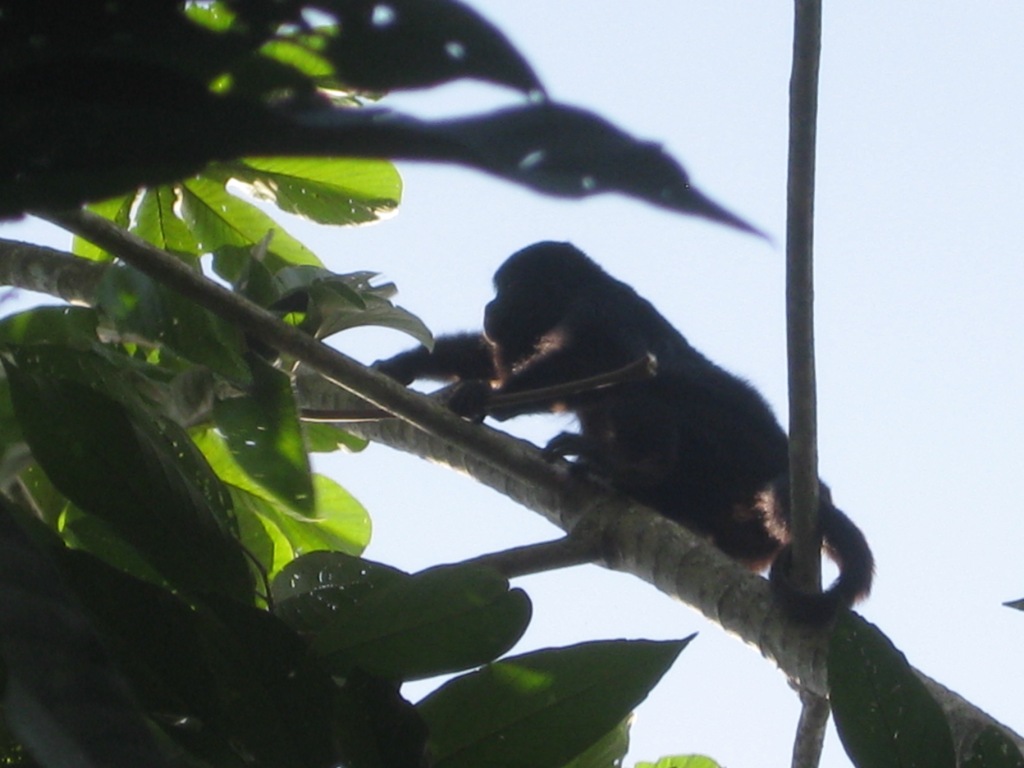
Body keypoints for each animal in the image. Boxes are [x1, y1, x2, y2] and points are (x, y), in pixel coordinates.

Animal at [375, 241, 873, 623]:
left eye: (507, 289)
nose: (489, 307)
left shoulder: (600, 307)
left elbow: (593, 362)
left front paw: (480, 395)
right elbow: (491, 357)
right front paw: (406, 365)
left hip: (730, 447)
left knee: (641, 391)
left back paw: (634, 470)